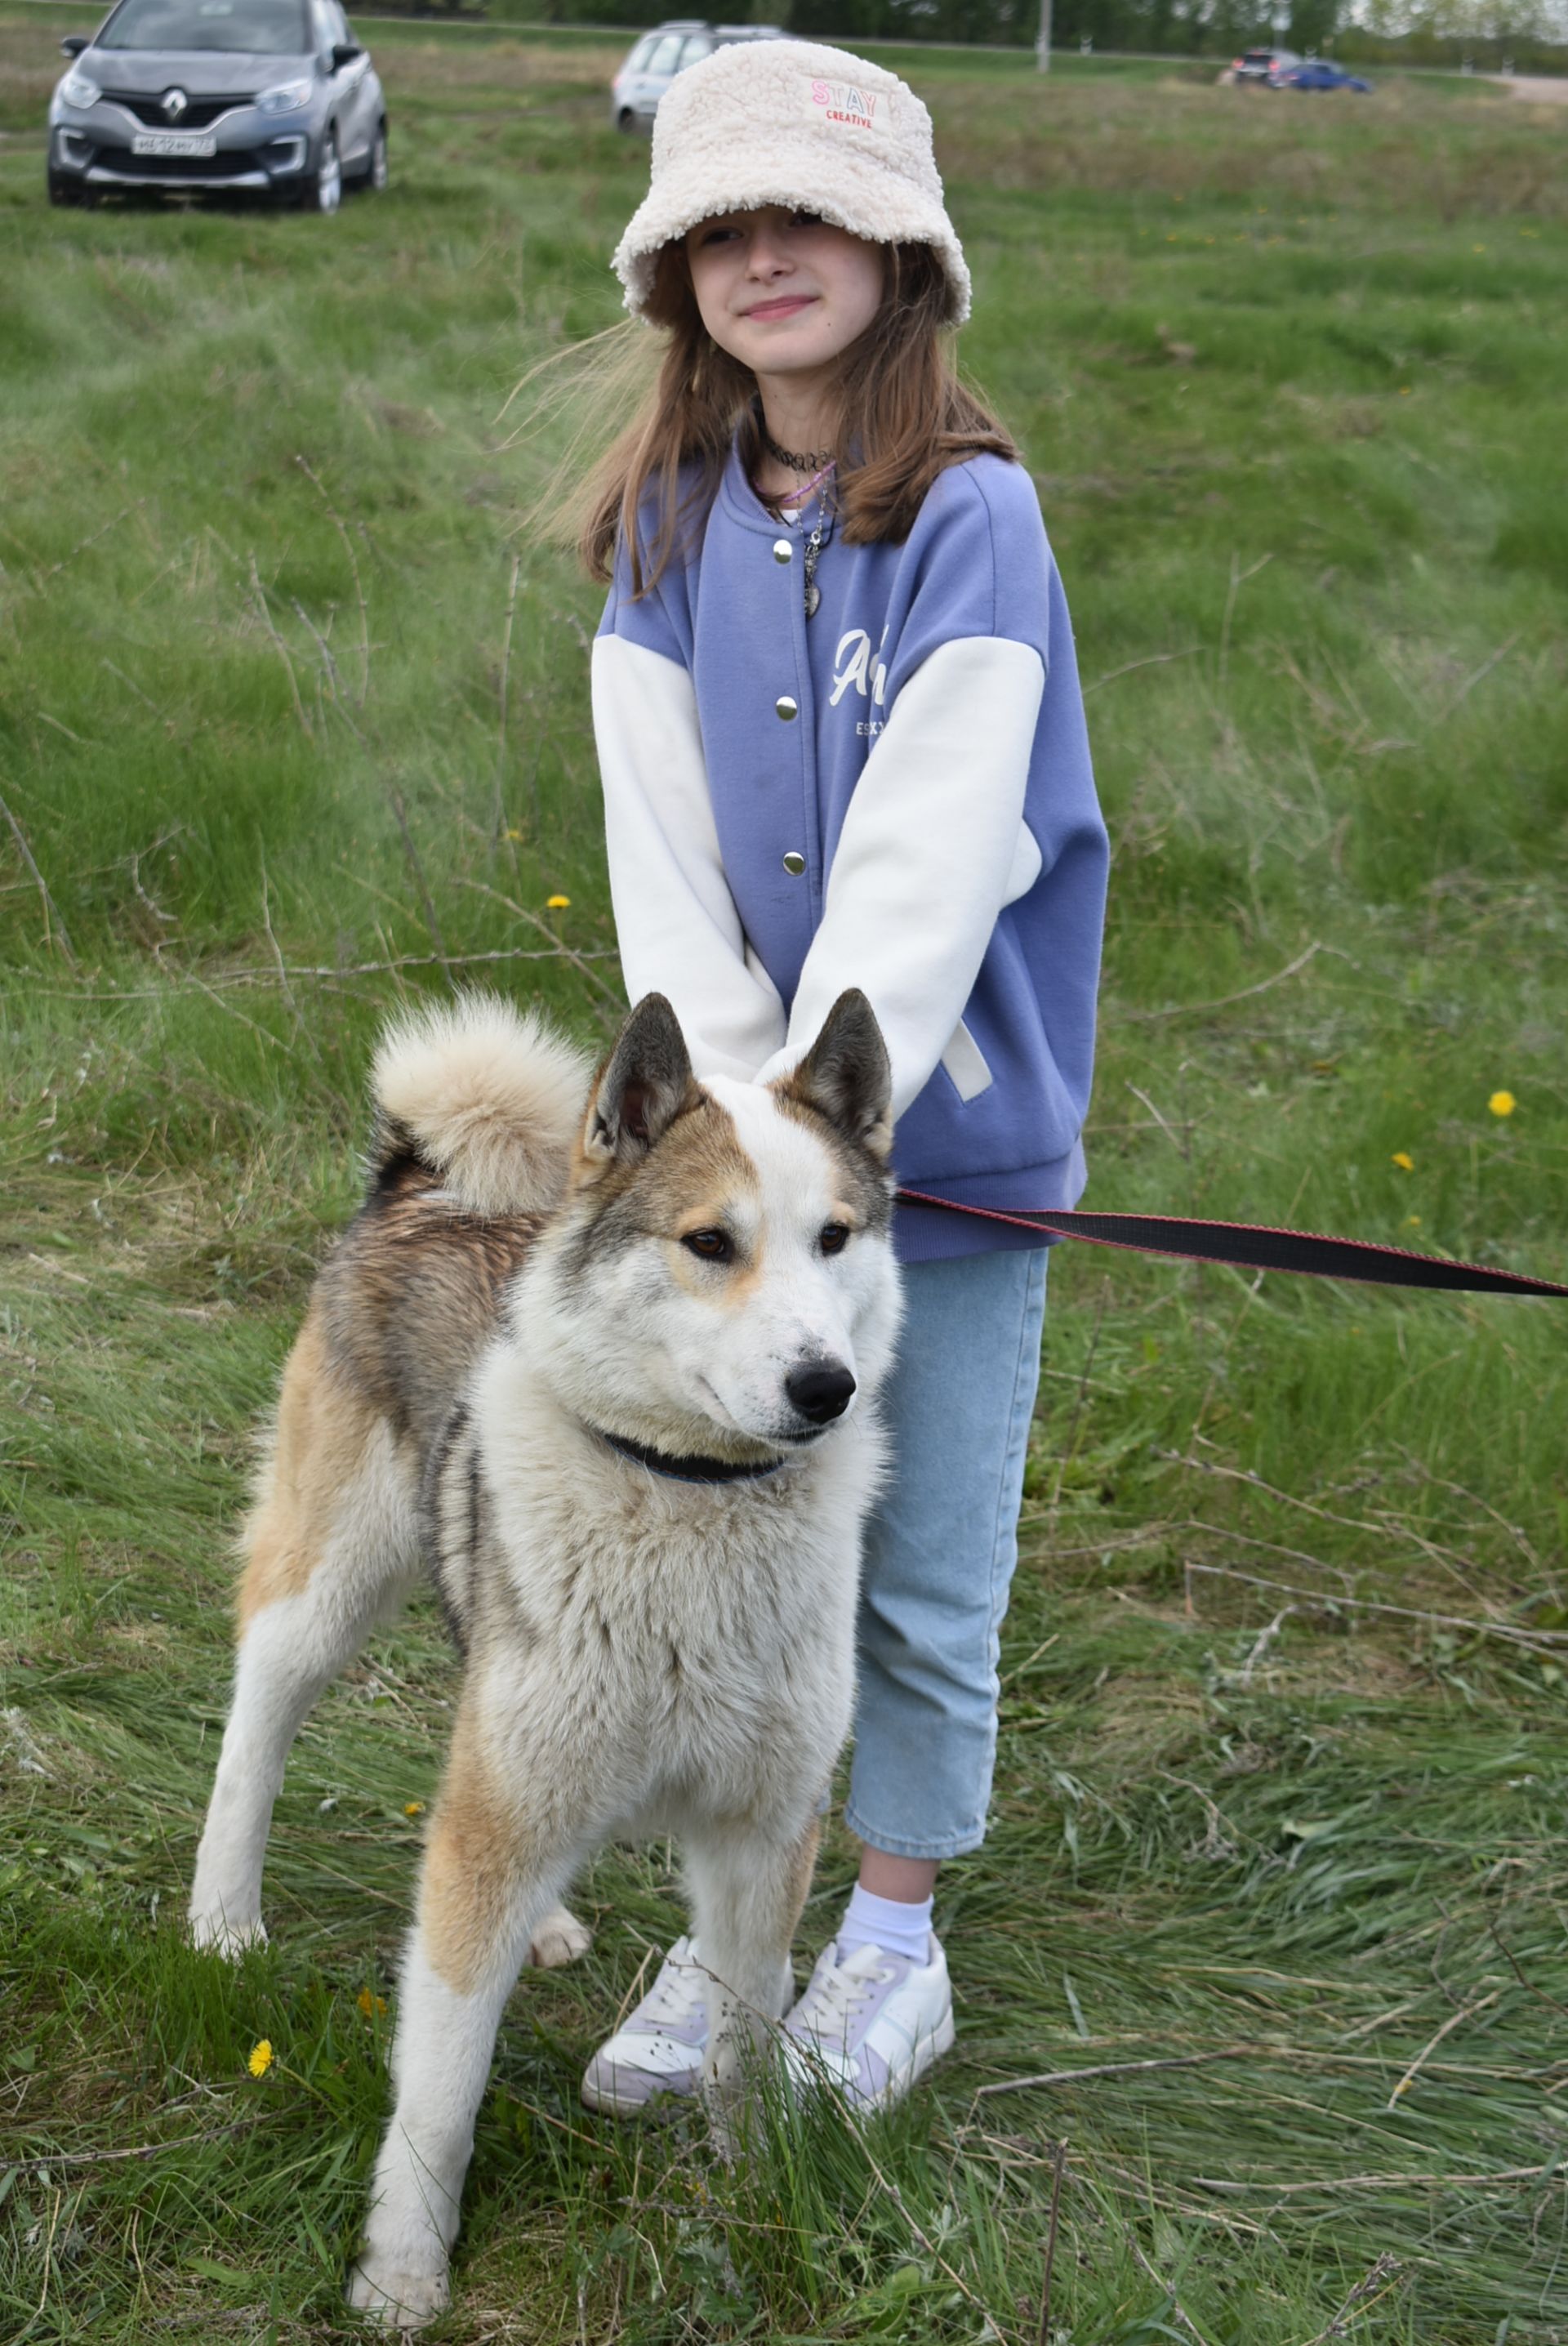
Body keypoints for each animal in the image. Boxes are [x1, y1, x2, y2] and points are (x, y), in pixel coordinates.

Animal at [189, 985, 900, 2327]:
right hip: (328, 1589)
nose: (825, 1385)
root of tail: (419, 1185)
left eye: (835, 1238)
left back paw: (547, 1922)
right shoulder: (493, 1834)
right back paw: (222, 1921)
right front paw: (404, 2271)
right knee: (256, 1731)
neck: (689, 1498)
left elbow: (741, 2047)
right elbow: (440, 2089)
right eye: (710, 1243)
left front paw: (753, 2197)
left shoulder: (761, 1841)